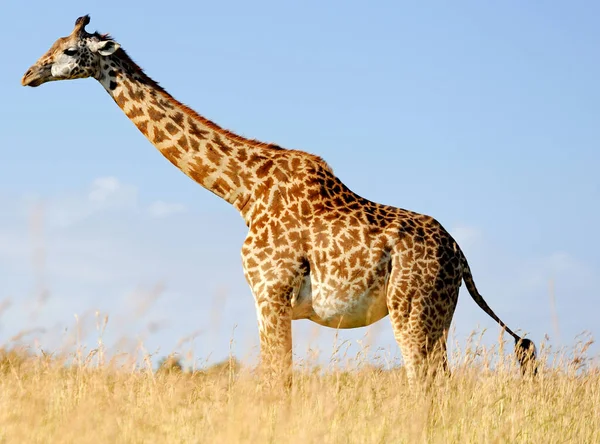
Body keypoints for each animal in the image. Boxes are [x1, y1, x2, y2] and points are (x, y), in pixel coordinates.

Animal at [19, 15, 540, 386]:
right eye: (50, 44)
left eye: (68, 50)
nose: (27, 75)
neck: (242, 192)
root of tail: (461, 258)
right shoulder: (265, 300)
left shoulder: (270, 292)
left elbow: (277, 380)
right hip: (435, 315)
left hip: (414, 309)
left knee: (427, 382)